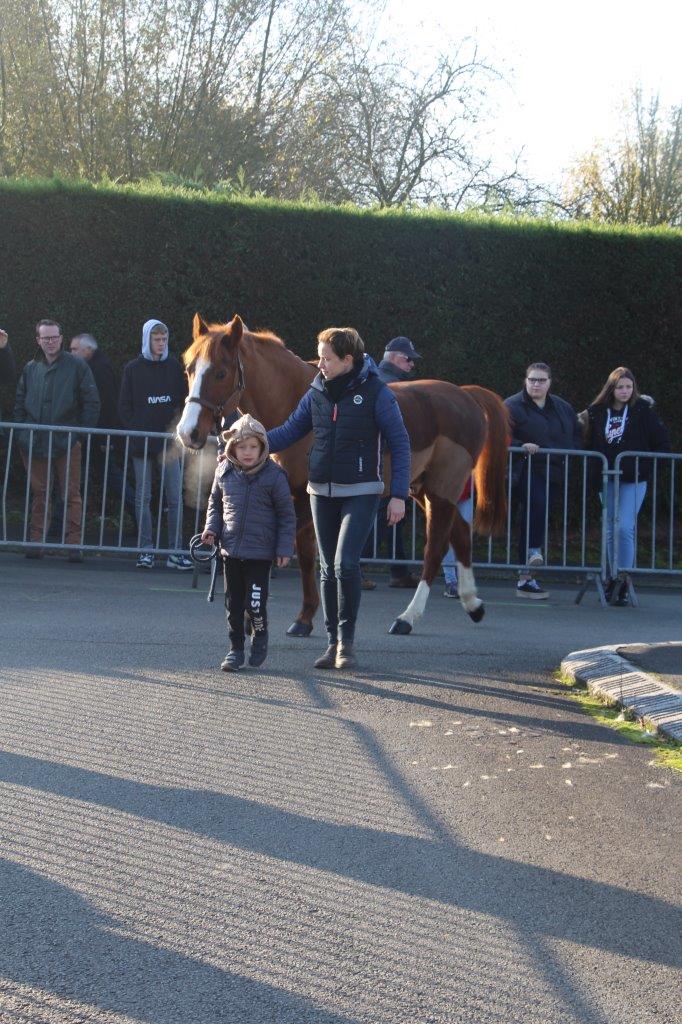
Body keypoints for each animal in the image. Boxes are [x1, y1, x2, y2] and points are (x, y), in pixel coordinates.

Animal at [175, 313, 503, 630]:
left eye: (220, 372)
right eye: (189, 369)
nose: (188, 432)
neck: (293, 399)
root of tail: (466, 397)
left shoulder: (303, 499)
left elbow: (295, 551)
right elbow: (306, 553)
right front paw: (303, 617)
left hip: (441, 490)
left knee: (435, 547)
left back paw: (408, 617)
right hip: (422, 489)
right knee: (459, 535)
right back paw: (473, 604)